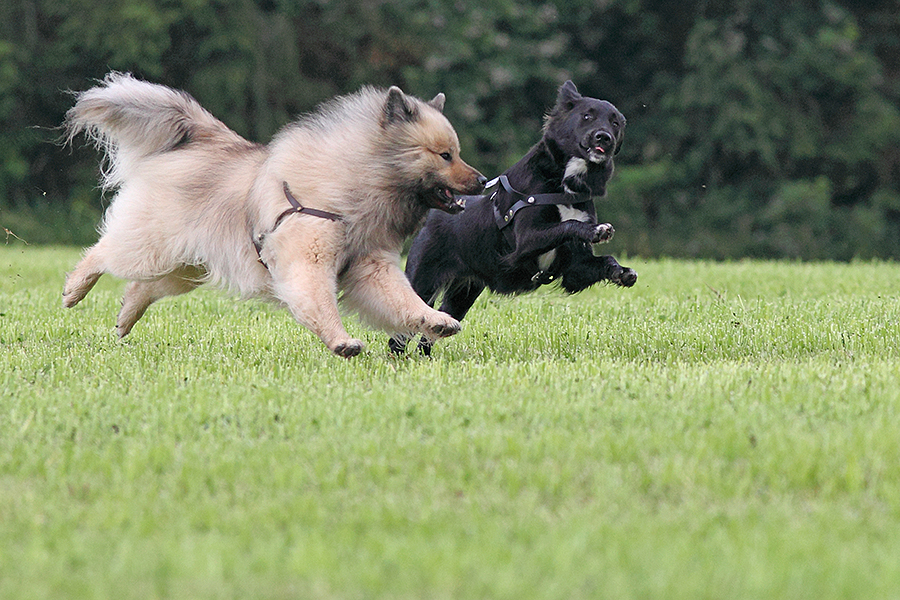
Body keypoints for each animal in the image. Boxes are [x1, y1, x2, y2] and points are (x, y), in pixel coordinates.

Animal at [390, 79, 636, 352]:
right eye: (587, 116)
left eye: (615, 123)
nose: (604, 137)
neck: (564, 185)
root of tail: (434, 216)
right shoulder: (524, 242)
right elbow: (567, 225)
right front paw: (596, 231)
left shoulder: (574, 270)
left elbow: (597, 262)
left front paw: (622, 272)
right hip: (423, 280)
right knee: (400, 334)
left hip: (463, 293)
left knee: (434, 329)